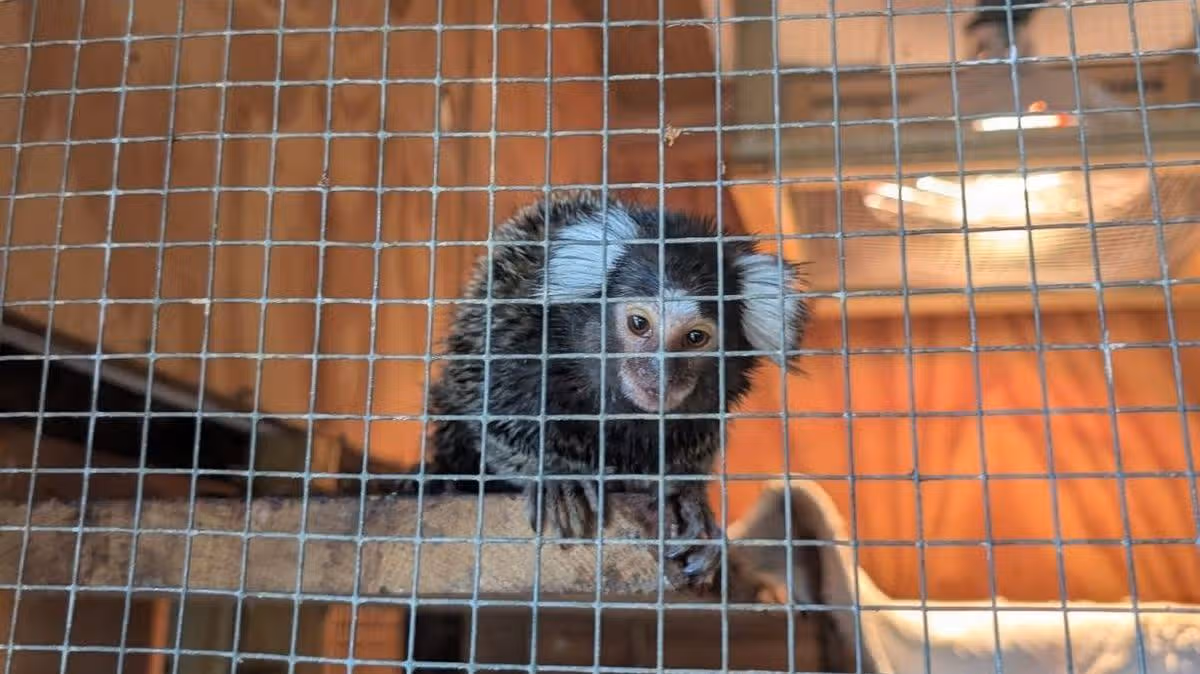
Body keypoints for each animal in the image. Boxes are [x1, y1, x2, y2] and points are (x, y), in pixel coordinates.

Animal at [422, 190, 808, 586]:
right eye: (639, 323)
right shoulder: (512, 333)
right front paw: (555, 476)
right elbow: (494, 418)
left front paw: (687, 496)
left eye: (695, 337)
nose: (660, 374)